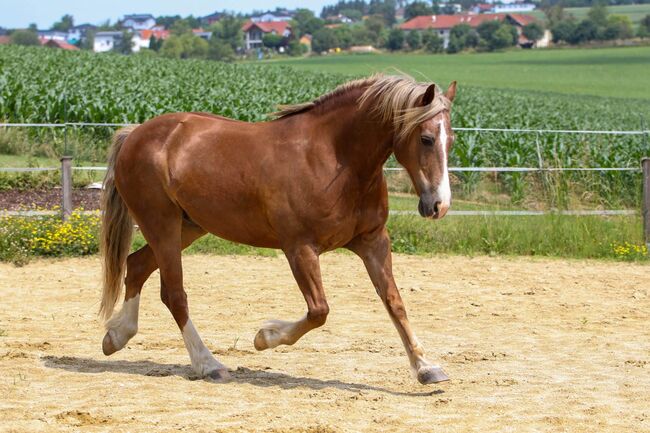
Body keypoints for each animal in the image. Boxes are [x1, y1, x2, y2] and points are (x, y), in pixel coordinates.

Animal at [100, 74, 456, 384]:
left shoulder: (373, 241)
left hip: (187, 226)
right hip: (161, 224)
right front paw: (264, 337)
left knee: (137, 266)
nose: (438, 205)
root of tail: (135, 134)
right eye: (426, 138)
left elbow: (394, 302)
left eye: (450, 140)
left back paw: (116, 336)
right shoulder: (299, 248)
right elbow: (319, 311)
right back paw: (208, 364)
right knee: (174, 294)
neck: (335, 158)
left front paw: (426, 368)